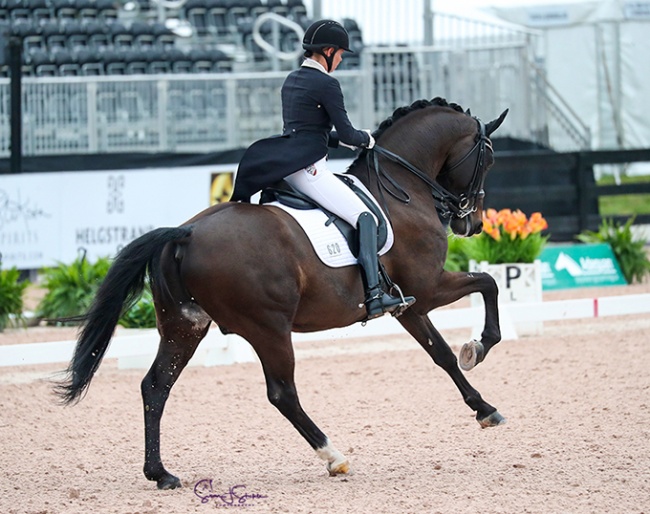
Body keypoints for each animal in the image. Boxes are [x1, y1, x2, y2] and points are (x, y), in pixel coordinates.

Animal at [54, 97, 506, 488]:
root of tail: (186, 233)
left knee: (155, 386)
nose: (472, 224)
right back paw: (334, 457)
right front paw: (480, 346)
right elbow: (489, 283)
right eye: (489, 158)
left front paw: (484, 406)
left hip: (185, 326)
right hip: (268, 327)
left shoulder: (409, 305)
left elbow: (441, 354)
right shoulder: (427, 289)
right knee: (282, 393)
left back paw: (161, 474)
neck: (401, 189)